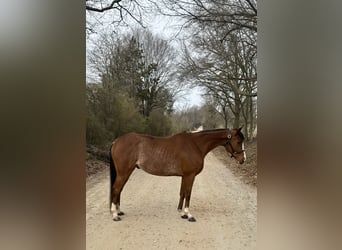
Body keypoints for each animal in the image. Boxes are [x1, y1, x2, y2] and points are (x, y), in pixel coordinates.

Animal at [109, 128, 246, 222]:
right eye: (239, 141)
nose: (243, 159)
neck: (195, 144)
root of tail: (116, 141)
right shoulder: (190, 175)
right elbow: (188, 194)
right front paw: (189, 215)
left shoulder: (184, 176)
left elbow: (182, 193)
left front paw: (181, 213)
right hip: (124, 172)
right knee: (116, 188)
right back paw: (115, 215)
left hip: (126, 172)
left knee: (119, 189)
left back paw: (119, 211)